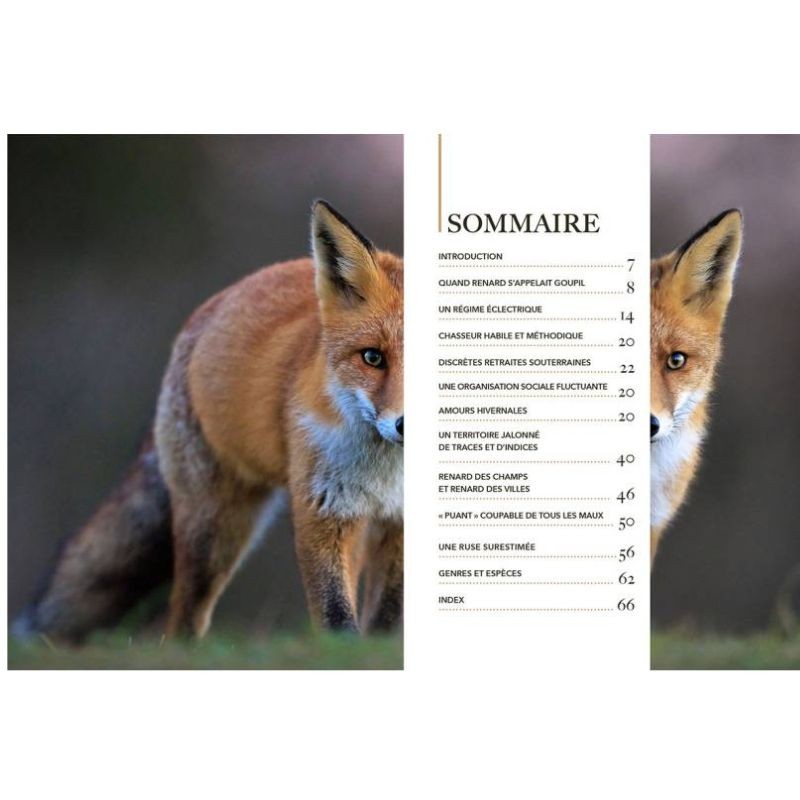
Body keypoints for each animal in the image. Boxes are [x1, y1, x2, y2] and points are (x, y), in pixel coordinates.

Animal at [17, 200, 404, 642]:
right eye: (372, 357)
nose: (403, 425)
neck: (386, 473)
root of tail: (213, 304)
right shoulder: (323, 510)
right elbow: (337, 617)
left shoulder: (395, 523)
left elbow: (386, 620)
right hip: (215, 531)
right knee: (182, 620)